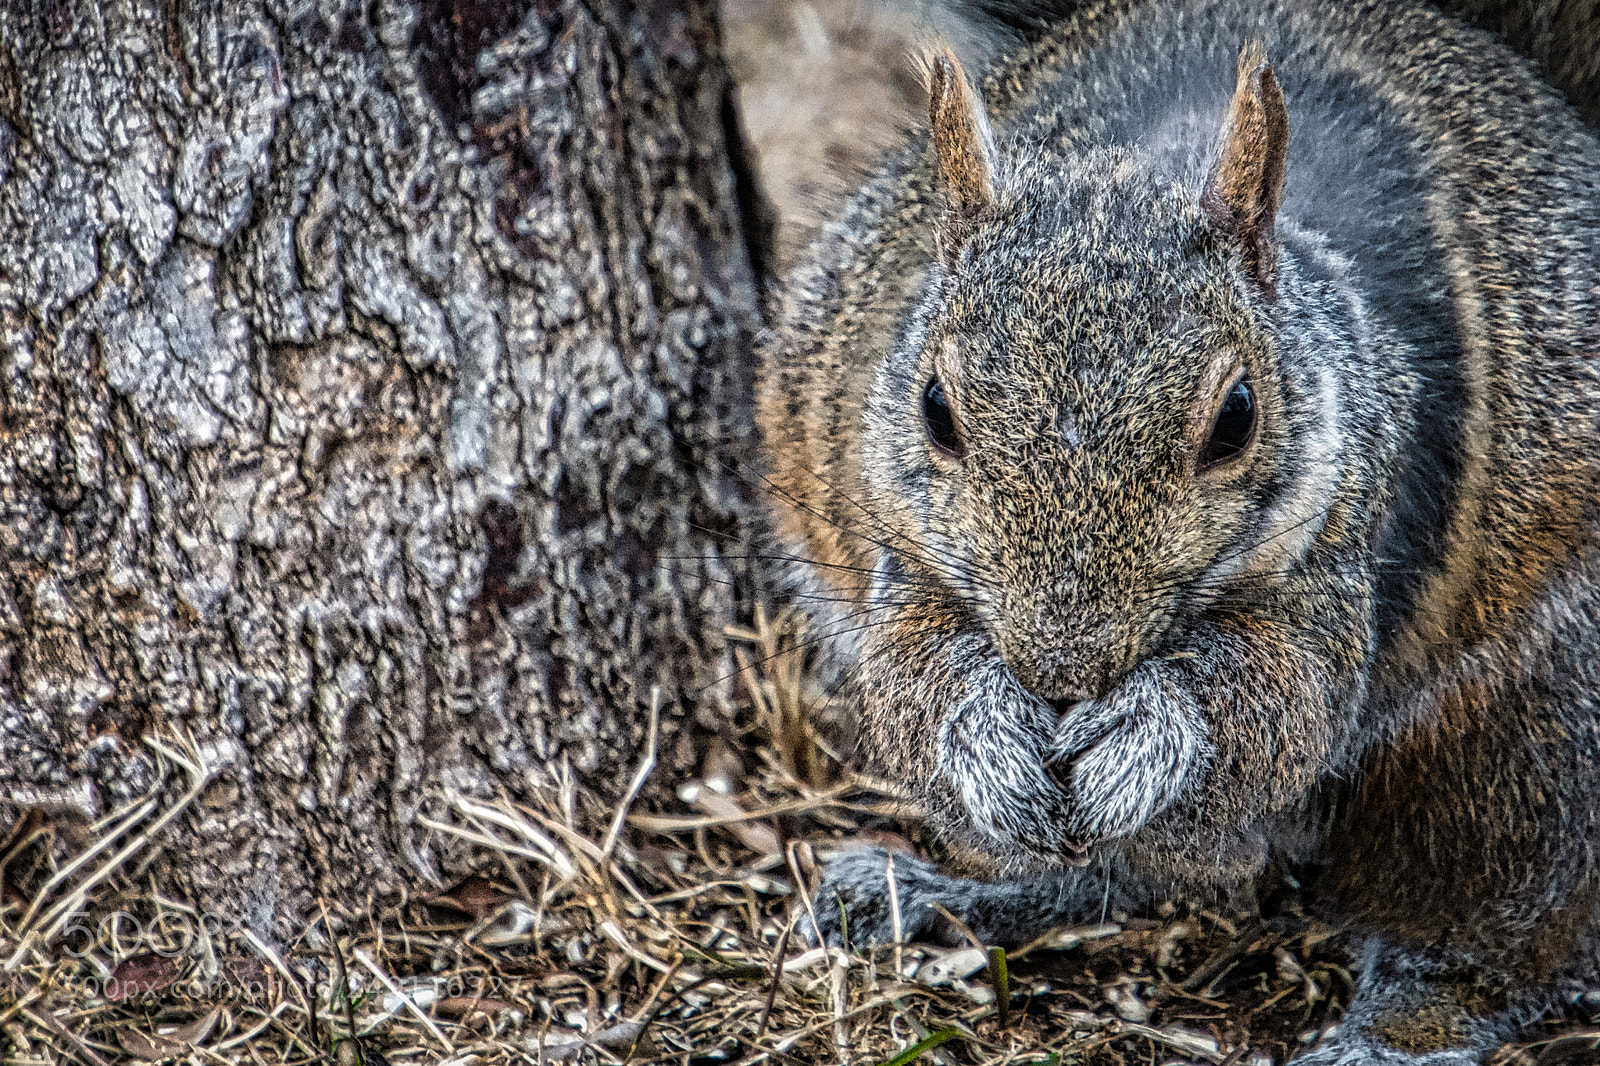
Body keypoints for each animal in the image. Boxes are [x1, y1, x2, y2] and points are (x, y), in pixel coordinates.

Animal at [754, 0, 1600, 1062]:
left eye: (1236, 417)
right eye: (935, 409)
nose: (1063, 673)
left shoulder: (1348, 535)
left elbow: (1284, 702)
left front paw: (1153, 725)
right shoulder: (907, 555)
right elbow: (909, 675)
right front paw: (983, 729)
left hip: (1530, 722)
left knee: (1491, 908)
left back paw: (1405, 1024)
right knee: (1141, 872)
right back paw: (962, 893)